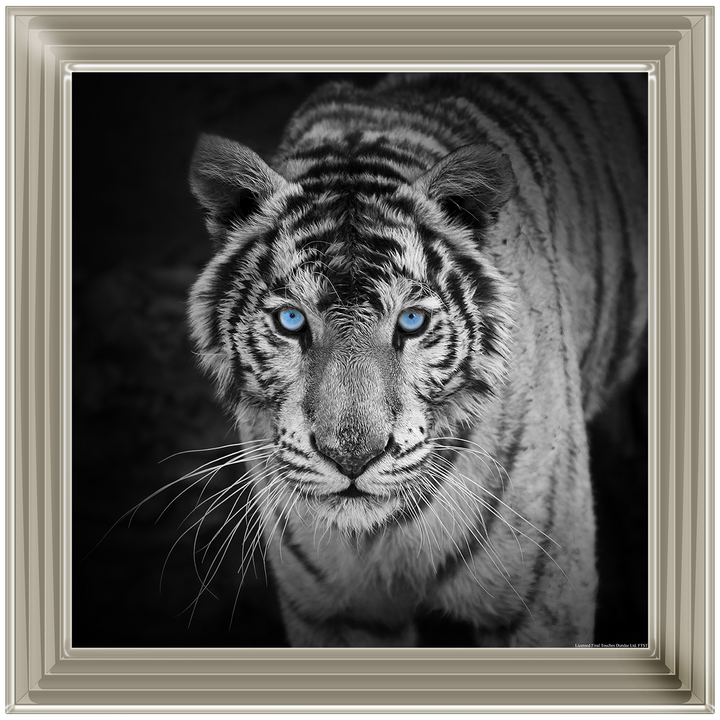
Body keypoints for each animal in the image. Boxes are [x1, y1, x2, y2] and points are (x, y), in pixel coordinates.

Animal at [187, 73, 648, 647]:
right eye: (291, 320)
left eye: (410, 322)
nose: (352, 458)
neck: (381, 536)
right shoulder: (336, 613)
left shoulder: (540, 606)